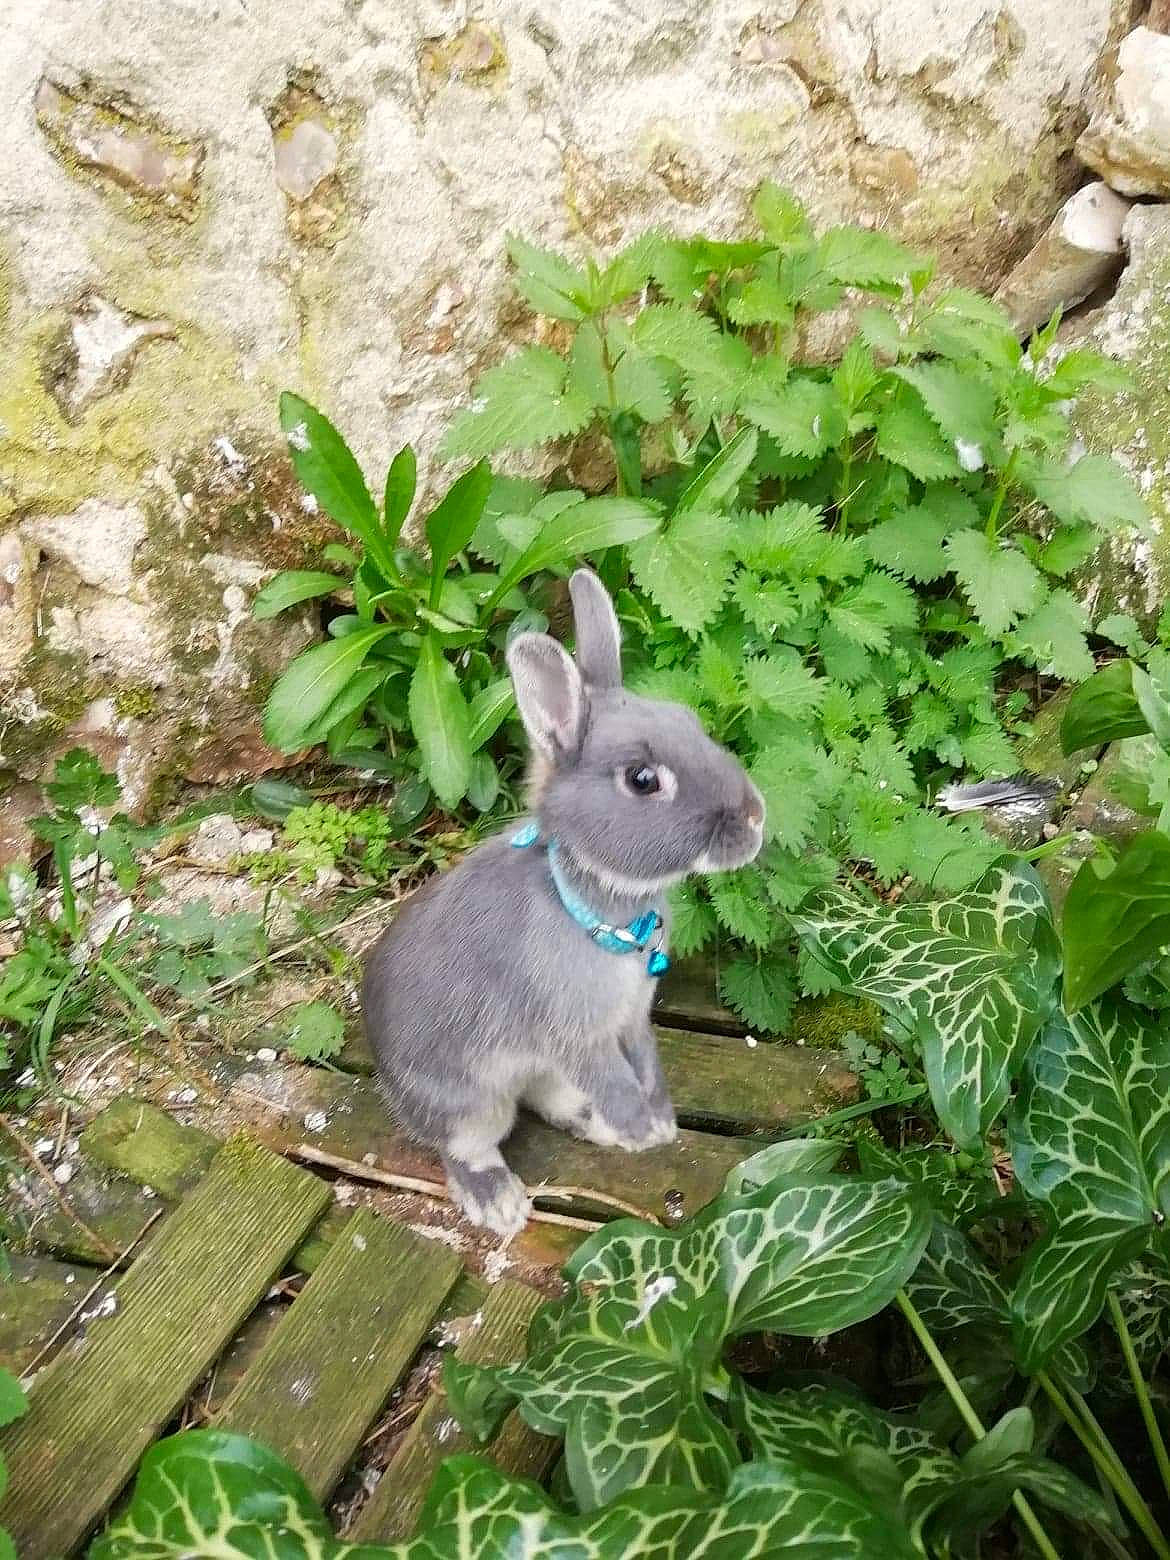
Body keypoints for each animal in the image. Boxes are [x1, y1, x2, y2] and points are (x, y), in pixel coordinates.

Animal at [362, 568, 765, 1238]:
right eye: (643, 780)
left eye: (690, 721)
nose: (756, 819)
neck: (594, 905)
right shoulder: (578, 1035)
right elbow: (615, 1080)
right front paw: (646, 1131)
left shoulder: (630, 1021)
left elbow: (644, 1064)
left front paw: (660, 1122)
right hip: (470, 1100)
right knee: (468, 1145)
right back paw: (500, 1202)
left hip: (536, 1070)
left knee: (548, 1099)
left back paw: (591, 1125)